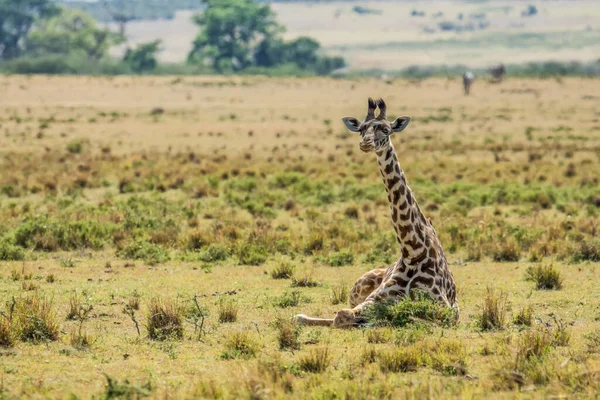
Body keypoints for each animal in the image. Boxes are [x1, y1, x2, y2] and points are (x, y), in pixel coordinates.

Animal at [296, 97, 460, 328]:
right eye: (361, 129)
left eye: (385, 129)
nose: (366, 143)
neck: (413, 250)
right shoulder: (374, 299)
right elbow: (342, 315)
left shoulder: (447, 308)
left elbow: (415, 317)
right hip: (357, 289)